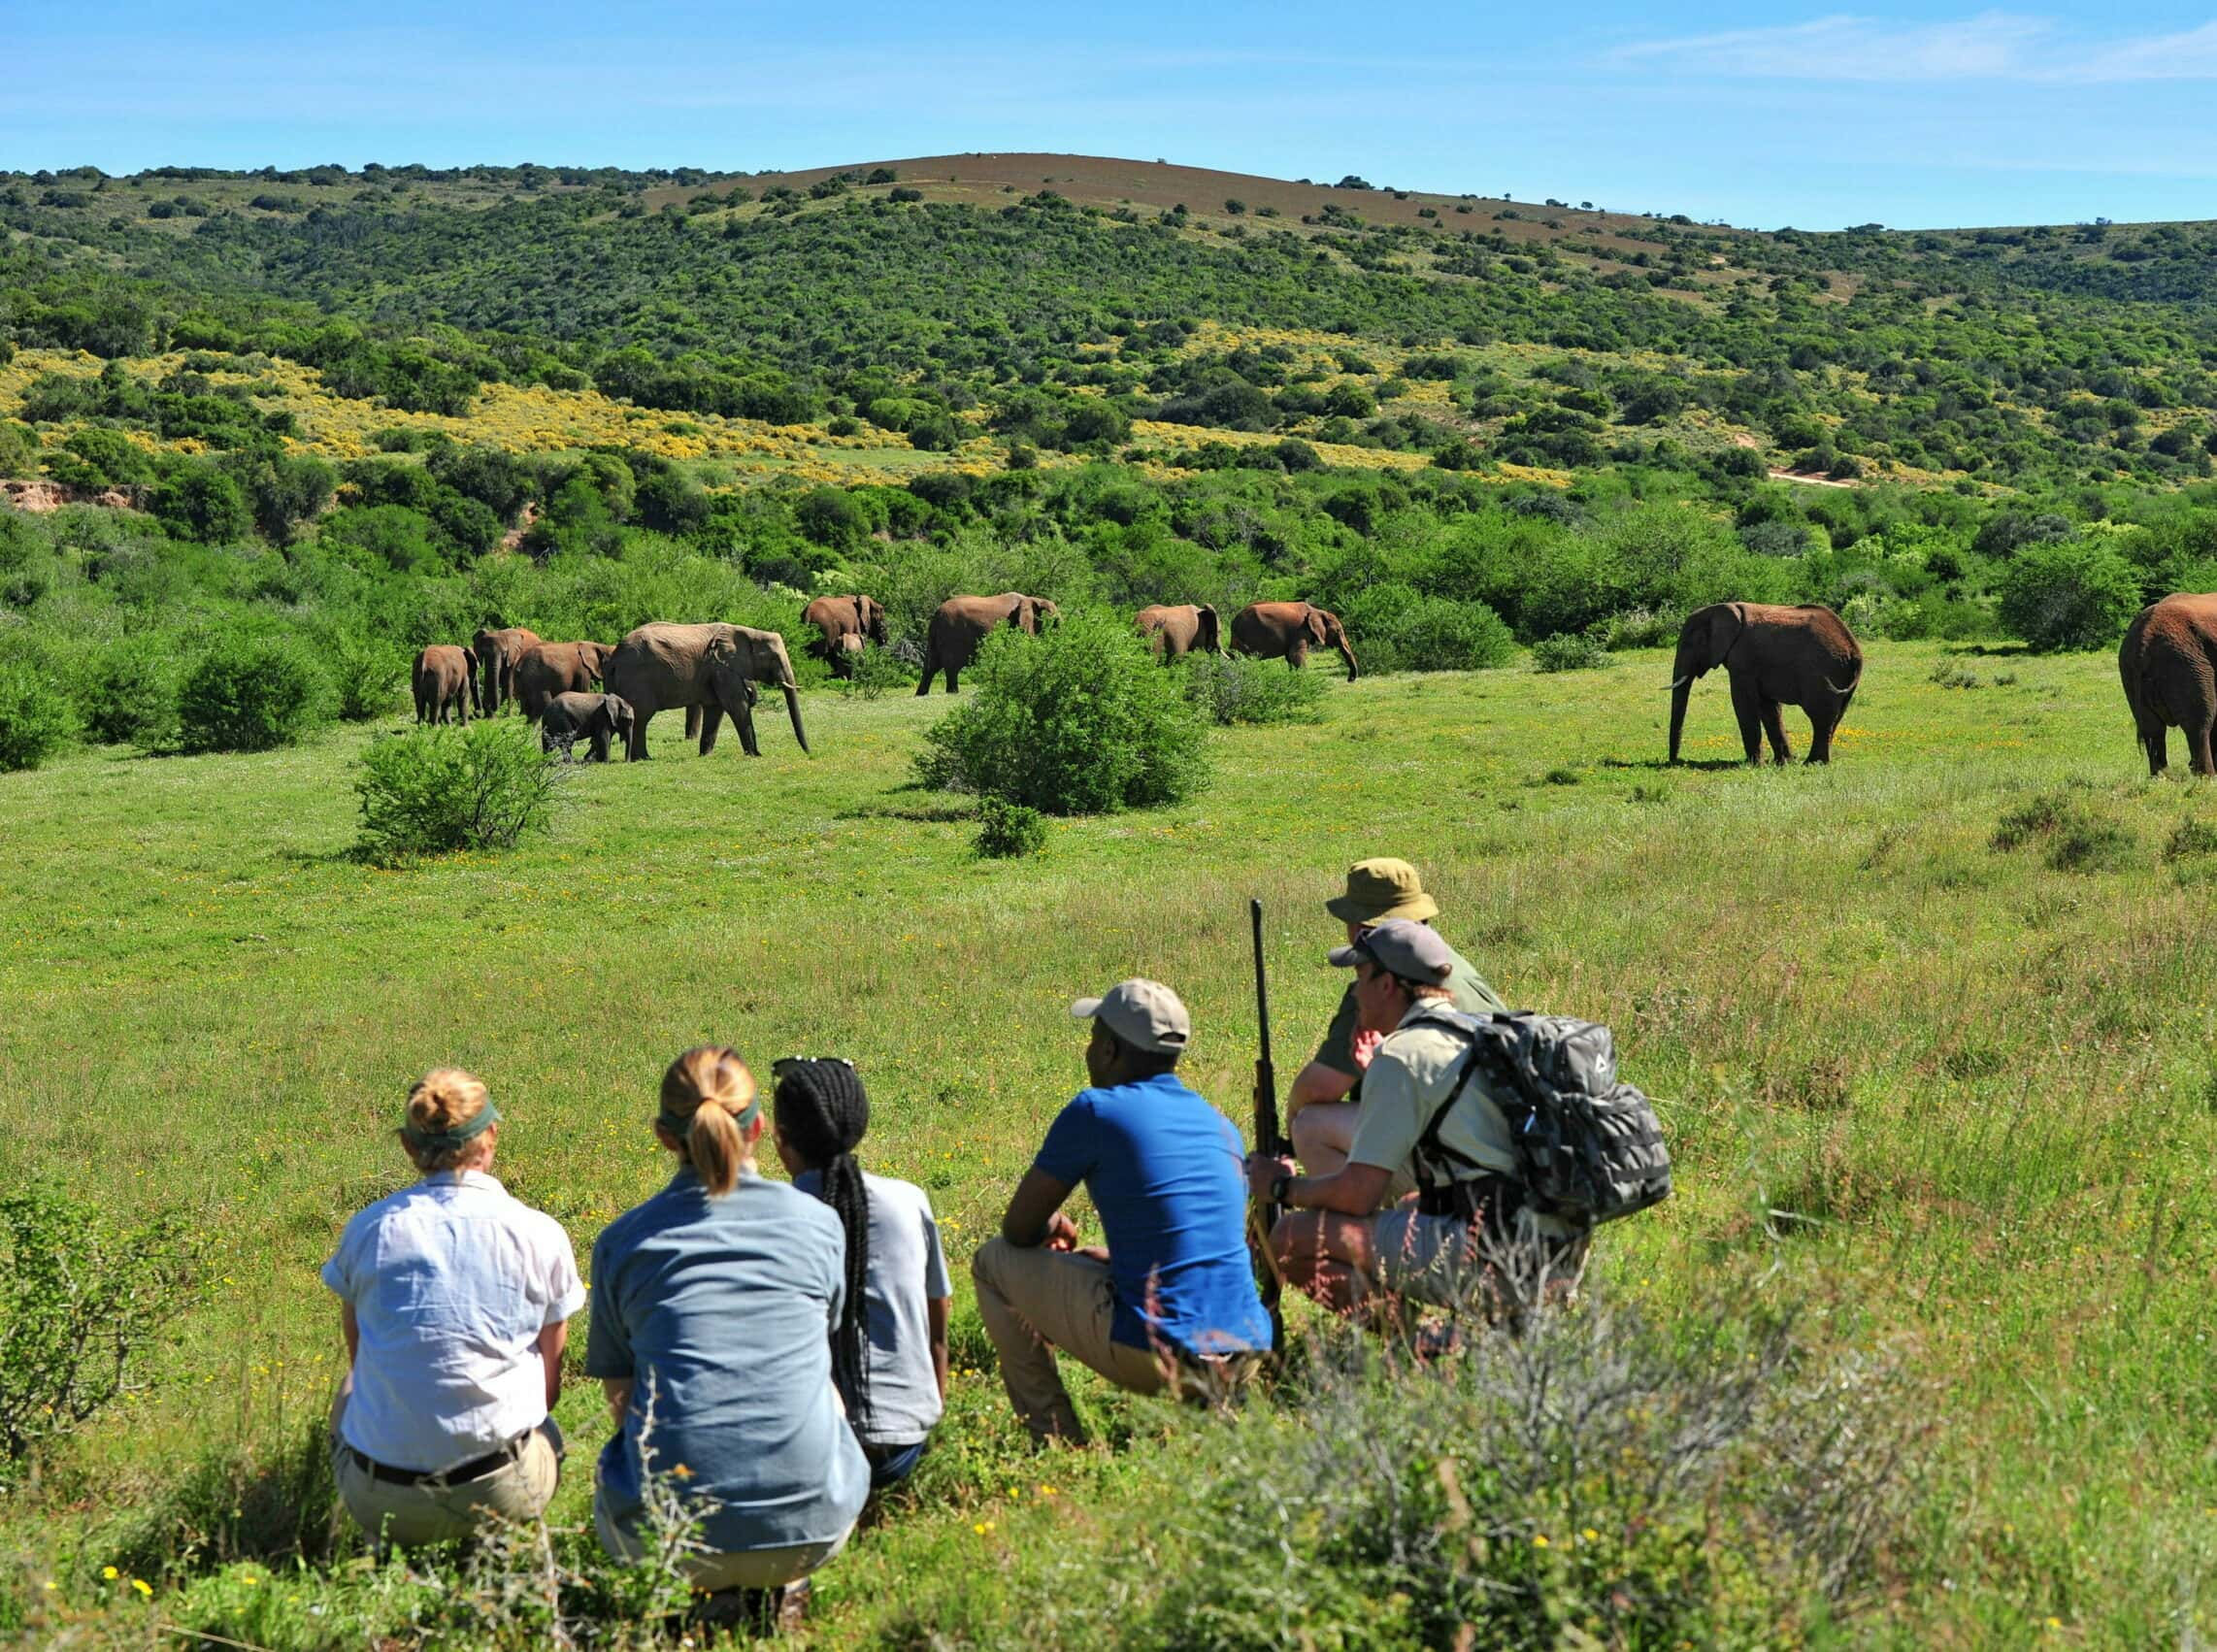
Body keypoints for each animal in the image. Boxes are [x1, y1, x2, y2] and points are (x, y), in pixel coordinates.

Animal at [603, 621, 808, 760]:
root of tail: (615, 656)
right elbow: (737, 706)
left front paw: (705, 756)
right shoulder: (722, 668)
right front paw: (756, 755)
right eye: (773, 658)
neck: (750, 632)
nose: (808, 752)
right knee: (641, 717)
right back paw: (644, 758)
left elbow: (715, 709)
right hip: (637, 678)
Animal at [914, 593, 1060, 695]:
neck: (1035, 599)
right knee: (951, 668)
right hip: (951, 634)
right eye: (1055, 622)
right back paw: (953, 692)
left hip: (937, 635)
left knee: (930, 667)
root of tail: (936, 614)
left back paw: (921, 695)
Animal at [1230, 601, 1358, 681]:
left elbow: (1290, 657)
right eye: (1338, 631)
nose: (1350, 679)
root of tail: (1233, 621)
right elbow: (1295, 655)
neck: (1317, 611)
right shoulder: (1300, 630)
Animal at [1667, 602, 1863, 766]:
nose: (1676, 762)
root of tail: (1855, 651)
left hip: (1821, 671)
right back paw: (1816, 762)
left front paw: (1755, 765)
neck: (1720, 608)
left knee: (1820, 717)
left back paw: (1813, 763)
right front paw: (1783, 763)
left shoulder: (1743, 661)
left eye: (1688, 644)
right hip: (1842, 676)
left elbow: (1743, 702)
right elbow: (1769, 708)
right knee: (1835, 716)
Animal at [2119, 592, 2217, 775]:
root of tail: (2146, 634)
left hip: (2129, 669)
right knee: (2199, 724)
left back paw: (2162, 777)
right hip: (2186, 662)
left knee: (2152, 729)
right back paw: (2207, 777)